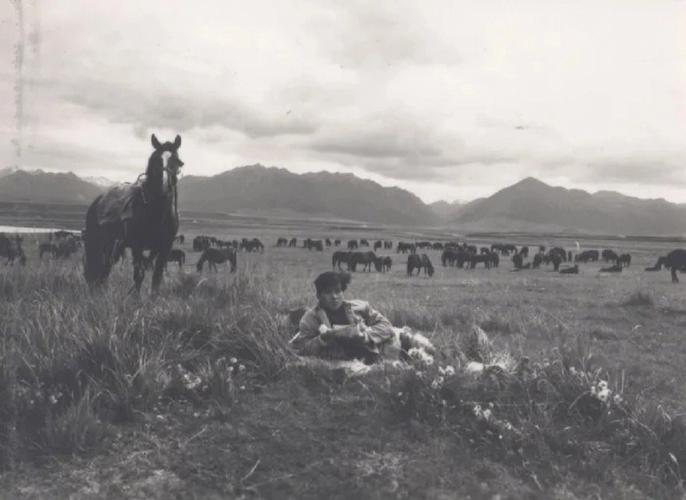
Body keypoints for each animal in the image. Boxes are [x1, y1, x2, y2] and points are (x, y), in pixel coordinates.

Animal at [84, 134, 183, 293]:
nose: (164, 188)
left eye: (178, 162)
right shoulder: (137, 246)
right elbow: (138, 277)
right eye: (156, 160)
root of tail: (98, 200)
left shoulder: (164, 248)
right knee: (98, 268)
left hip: (113, 245)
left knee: (105, 269)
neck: (157, 214)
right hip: (100, 242)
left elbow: (156, 279)